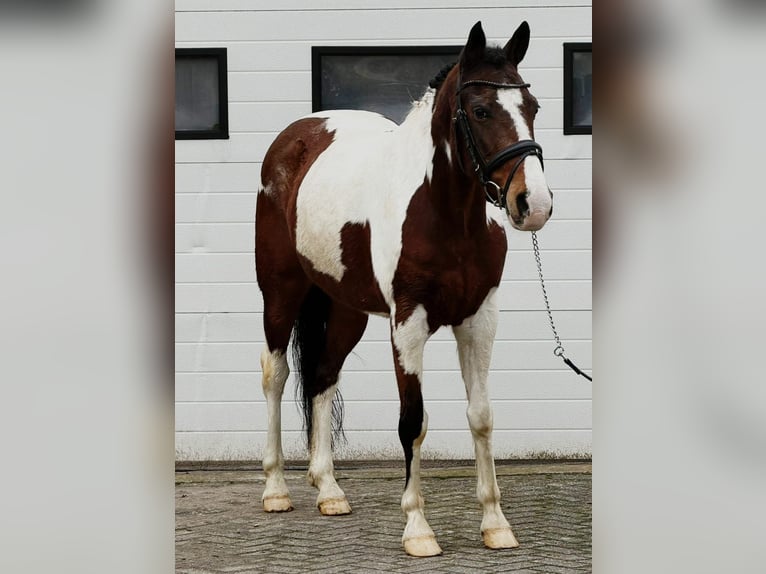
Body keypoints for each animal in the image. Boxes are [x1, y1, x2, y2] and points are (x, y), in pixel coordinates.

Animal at [255, 20, 552, 557]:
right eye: (481, 110)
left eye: (533, 107)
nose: (533, 203)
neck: (445, 216)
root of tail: (294, 138)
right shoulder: (408, 324)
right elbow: (413, 421)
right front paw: (417, 528)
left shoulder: (479, 319)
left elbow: (481, 416)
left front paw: (496, 524)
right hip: (280, 293)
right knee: (277, 374)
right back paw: (276, 489)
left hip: (345, 308)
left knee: (323, 374)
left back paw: (329, 490)